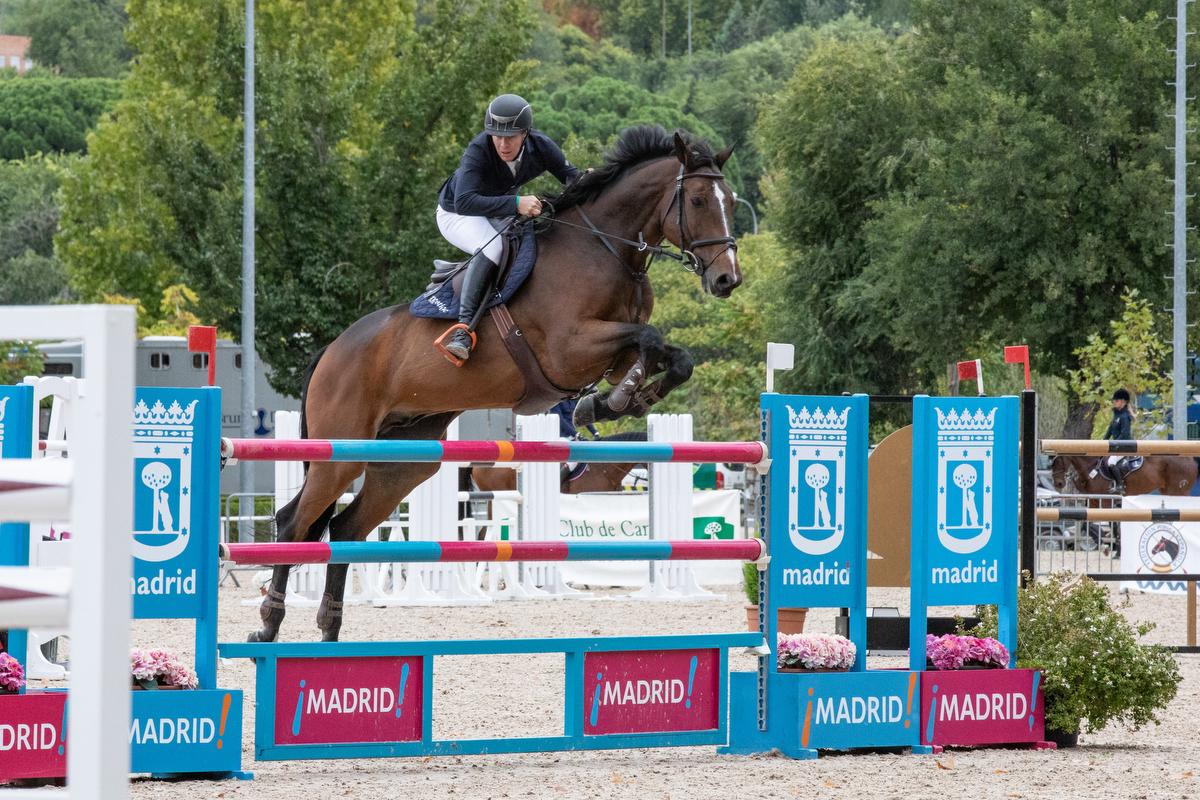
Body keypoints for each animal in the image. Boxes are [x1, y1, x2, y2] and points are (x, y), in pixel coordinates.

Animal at [249, 128, 739, 647]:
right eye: (699, 199)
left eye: (730, 201)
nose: (728, 279)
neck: (603, 249)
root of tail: (331, 350)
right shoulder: (569, 347)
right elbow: (646, 339)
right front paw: (614, 400)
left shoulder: (608, 353)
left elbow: (670, 355)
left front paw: (619, 400)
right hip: (340, 454)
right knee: (294, 521)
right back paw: (269, 623)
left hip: (402, 462)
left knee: (344, 528)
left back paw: (329, 629)